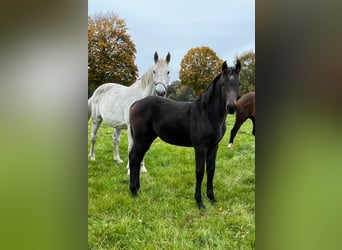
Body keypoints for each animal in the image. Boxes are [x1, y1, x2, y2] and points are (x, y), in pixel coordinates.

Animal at [127, 60, 240, 209]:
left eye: (238, 84)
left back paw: (137, 189)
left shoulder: (213, 147)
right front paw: (200, 202)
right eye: (223, 84)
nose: (231, 107)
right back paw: (134, 191)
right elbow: (200, 172)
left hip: (146, 139)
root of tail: (135, 104)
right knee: (135, 159)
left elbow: (211, 170)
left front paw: (212, 198)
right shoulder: (200, 148)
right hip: (142, 139)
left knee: (136, 158)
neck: (208, 114)